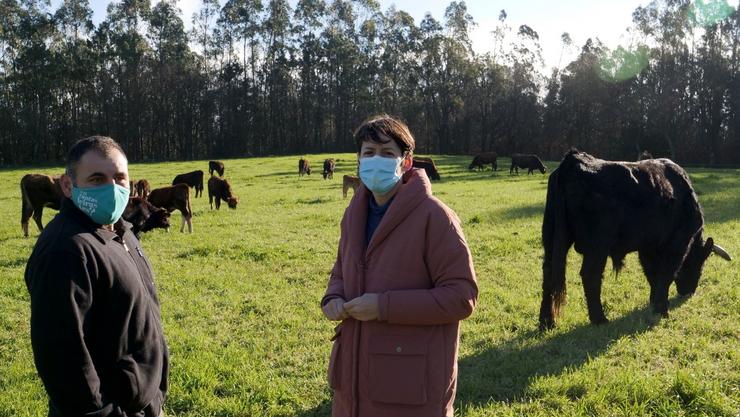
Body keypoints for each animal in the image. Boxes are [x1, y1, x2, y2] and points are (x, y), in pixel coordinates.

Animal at [540, 150, 732, 328]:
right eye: (700, 263)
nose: (689, 291)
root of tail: (575, 159)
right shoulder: (677, 244)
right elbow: (666, 273)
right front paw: (662, 309)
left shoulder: (648, 246)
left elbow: (653, 274)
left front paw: (654, 303)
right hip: (597, 246)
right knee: (590, 274)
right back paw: (600, 319)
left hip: (552, 239)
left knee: (548, 273)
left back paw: (546, 322)